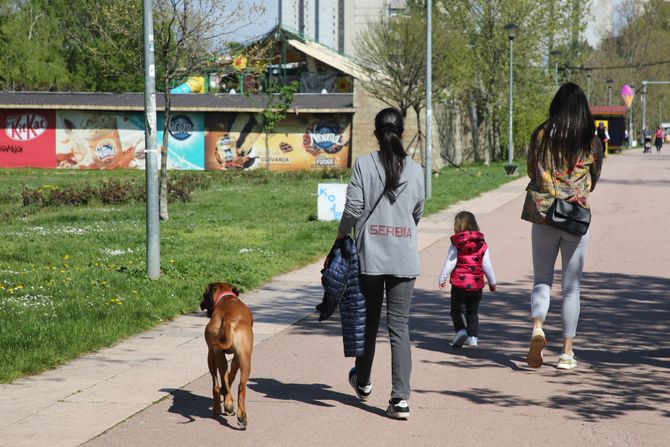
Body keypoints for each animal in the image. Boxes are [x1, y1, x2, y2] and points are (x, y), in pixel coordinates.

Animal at [202, 282, 255, 428]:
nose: (201, 304)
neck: (225, 298)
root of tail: (227, 318)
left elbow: (226, 378)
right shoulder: (237, 358)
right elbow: (231, 377)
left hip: (214, 355)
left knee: (219, 383)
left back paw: (224, 406)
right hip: (243, 359)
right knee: (240, 386)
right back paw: (239, 415)